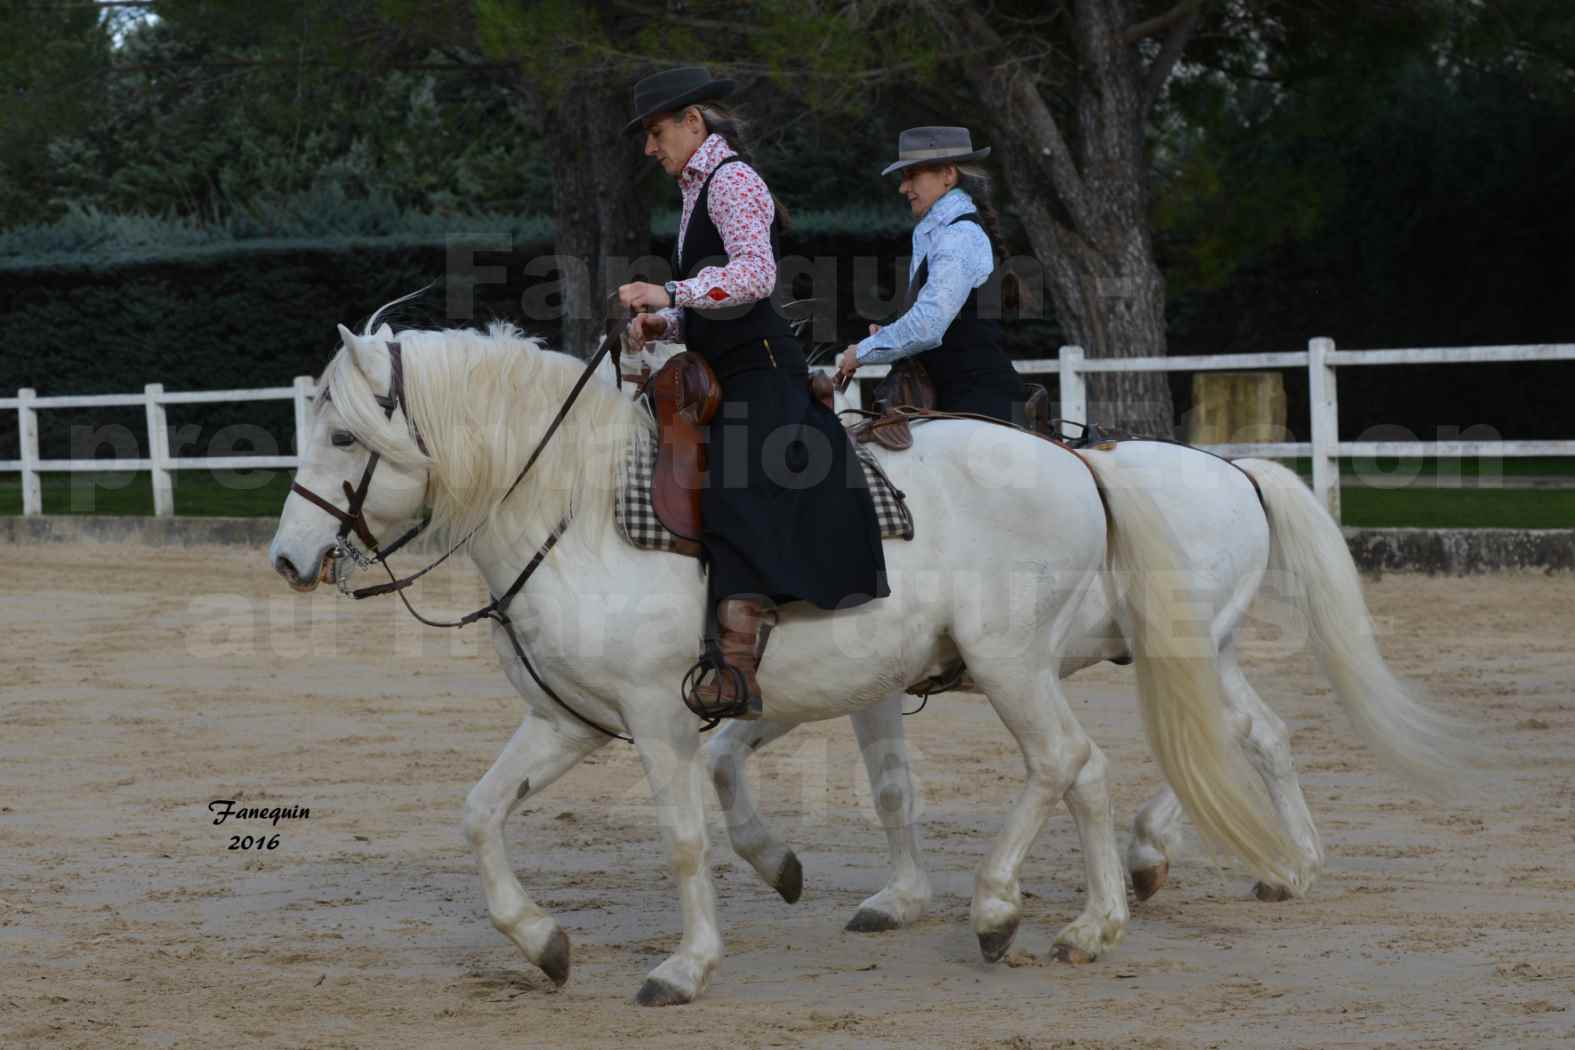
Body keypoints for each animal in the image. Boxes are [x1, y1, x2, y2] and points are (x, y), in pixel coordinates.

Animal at [270, 321, 1316, 1001]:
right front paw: (544, 943)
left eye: (344, 435)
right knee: (1137, 758)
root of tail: (1081, 468)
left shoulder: (658, 719)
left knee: (1081, 759)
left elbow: (684, 835)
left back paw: (1011, 907)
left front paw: (686, 963)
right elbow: (482, 813)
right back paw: (1102, 918)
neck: (574, 510)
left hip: (1022, 661)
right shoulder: (572, 719)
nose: (288, 559)